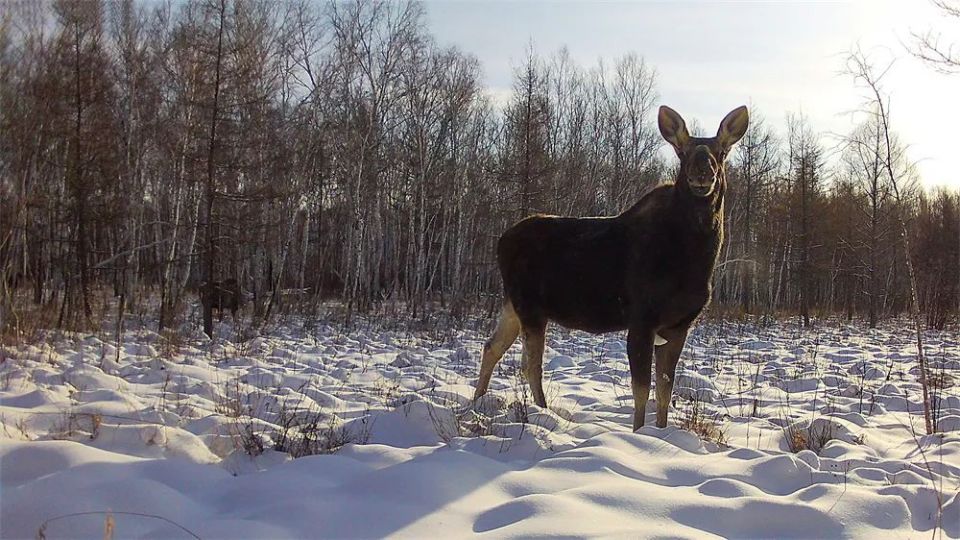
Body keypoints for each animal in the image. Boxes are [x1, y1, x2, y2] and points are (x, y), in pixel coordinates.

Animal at [472, 104, 752, 430]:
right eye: (682, 152)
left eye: (722, 152)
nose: (702, 172)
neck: (695, 262)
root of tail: (501, 241)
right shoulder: (642, 319)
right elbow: (641, 389)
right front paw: (639, 432)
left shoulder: (679, 326)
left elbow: (665, 390)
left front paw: (661, 431)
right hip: (529, 307)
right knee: (530, 365)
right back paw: (542, 413)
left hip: (513, 305)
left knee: (492, 346)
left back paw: (477, 402)